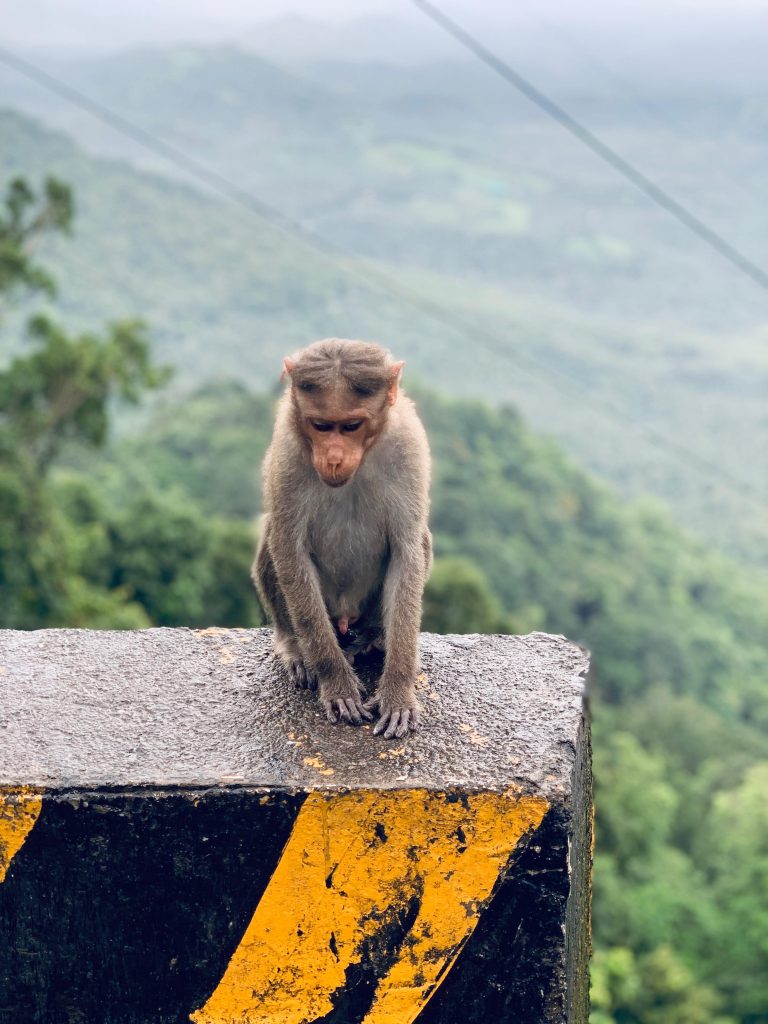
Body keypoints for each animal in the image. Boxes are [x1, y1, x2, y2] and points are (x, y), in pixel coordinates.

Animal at [253, 339, 430, 741]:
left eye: (351, 426)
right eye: (321, 426)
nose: (333, 458)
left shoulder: (409, 445)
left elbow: (407, 551)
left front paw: (397, 690)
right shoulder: (288, 450)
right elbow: (289, 549)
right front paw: (336, 683)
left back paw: (371, 639)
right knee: (273, 540)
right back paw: (297, 649)